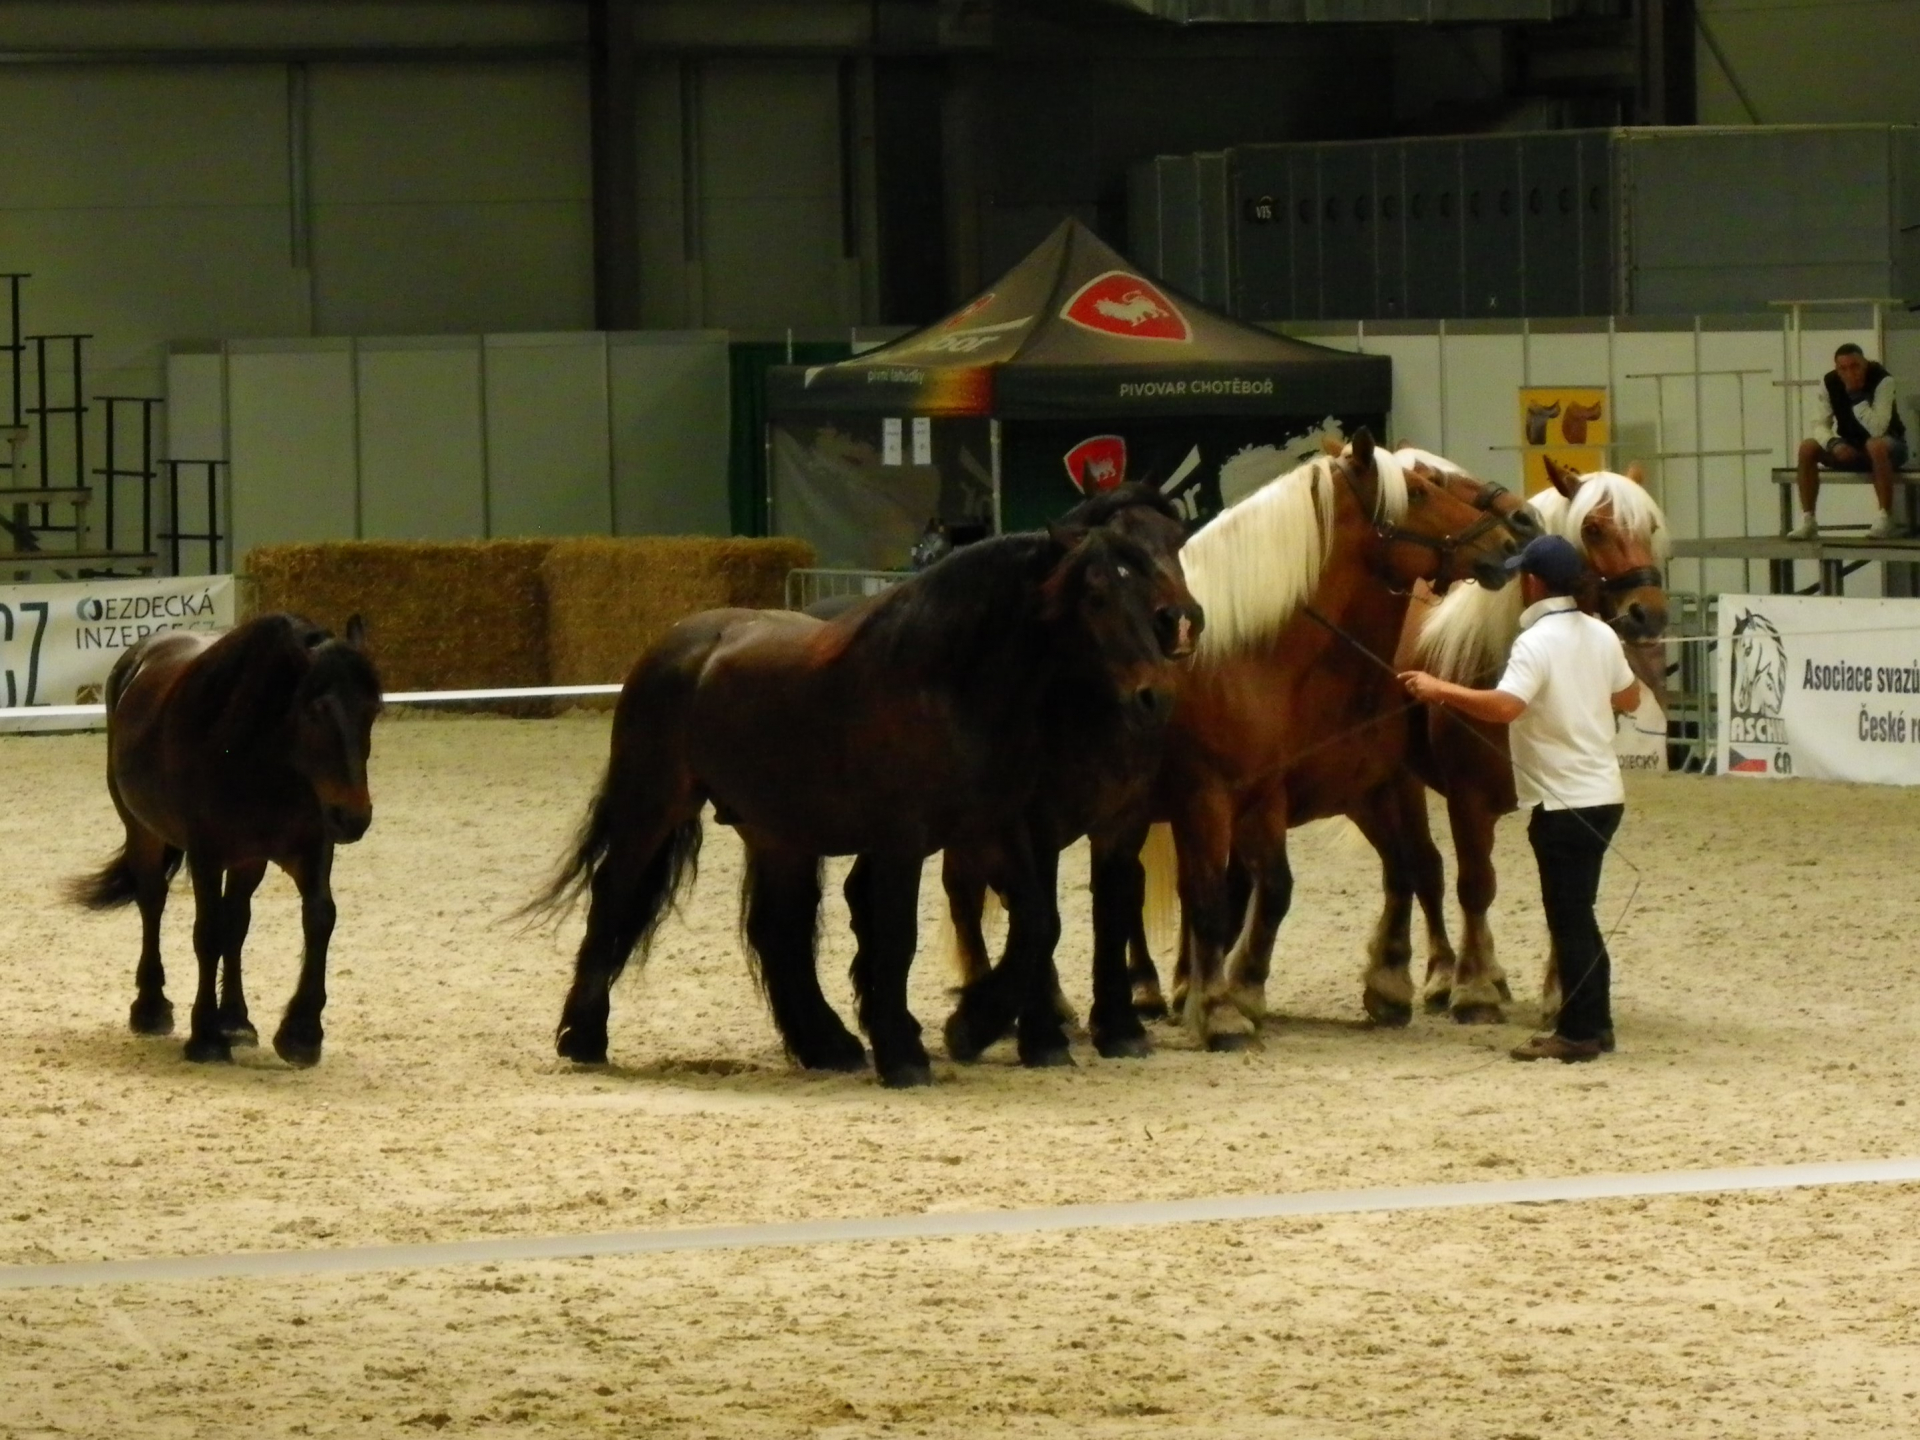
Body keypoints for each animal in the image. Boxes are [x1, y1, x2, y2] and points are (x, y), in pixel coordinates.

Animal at [70, 618, 382, 1075]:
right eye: (315, 710)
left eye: (373, 709)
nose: (353, 816)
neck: (259, 762)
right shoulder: (207, 855)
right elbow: (208, 932)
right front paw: (206, 1036)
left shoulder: (310, 850)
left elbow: (319, 918)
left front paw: (301, 1034)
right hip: (143, 831)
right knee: (153, 902)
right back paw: (152, 1008)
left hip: (249, 860)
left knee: (237, 921)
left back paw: (236, 1020)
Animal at [533, 514, 1190, 1090]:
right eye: (1096, 596)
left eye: (1151, 597)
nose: (1154, 697)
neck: (948, 687)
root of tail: (677, 644)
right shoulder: (903, 840)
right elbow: (897, 938)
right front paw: (905, 1057)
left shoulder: (995, 829)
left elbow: (1038, 925)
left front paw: (970, 1027)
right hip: (652, 806)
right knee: (613, 898)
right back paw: (583, 1039)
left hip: (778, 834)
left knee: (778, 932)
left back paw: (828, 1046)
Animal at [1105, 428, 1520, 1052]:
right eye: (1423, 490)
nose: (1507, 540)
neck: (1244, 656)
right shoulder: (1208, 799)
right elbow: (1212, 897)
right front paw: (1222, 1010)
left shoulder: (1308, 795)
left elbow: (1303, 883)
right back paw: (1144, 994)